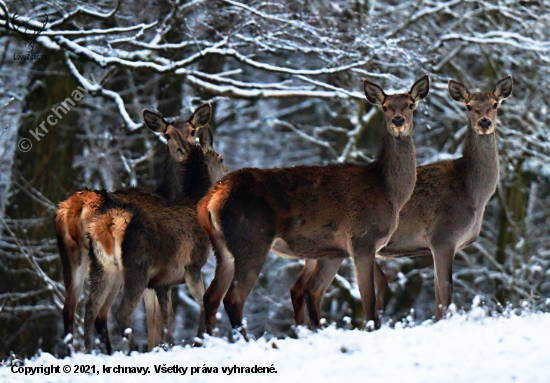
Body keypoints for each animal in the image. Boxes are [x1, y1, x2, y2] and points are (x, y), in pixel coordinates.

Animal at [198, 76, 432, 340]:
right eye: (385, 106)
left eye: (411, 104)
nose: (398, 120)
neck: (388, 190)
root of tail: (210, 199)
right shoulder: (362, 239)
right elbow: (368, 300)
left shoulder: (334, 251)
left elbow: (319, 292)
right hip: (250, 240)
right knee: (233, 298)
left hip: (222, 248)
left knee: (210, 296)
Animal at [292, 76, 516, 328]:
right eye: (469, 106)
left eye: (495, 104)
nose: (484, 123)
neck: (474, 194)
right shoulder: (442, 236)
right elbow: (444, 293)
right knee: (310, 289)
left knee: (298, 288)